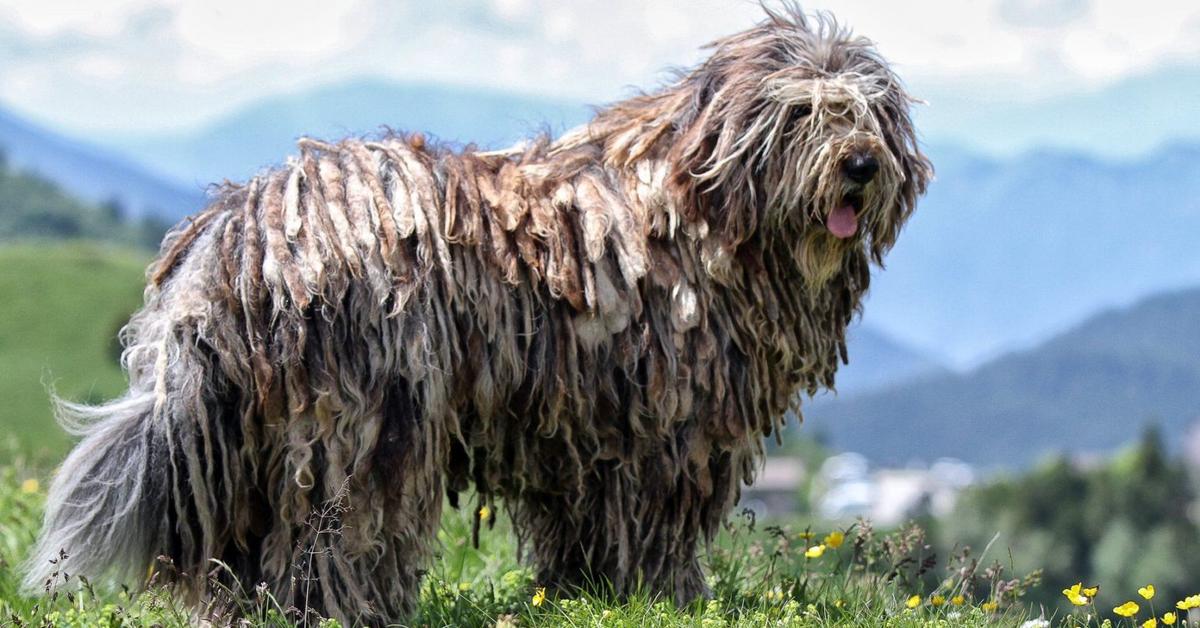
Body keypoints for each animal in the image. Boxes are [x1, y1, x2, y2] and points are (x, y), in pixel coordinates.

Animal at [25, 6, 926, 624]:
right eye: (804, 113)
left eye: (869, 115)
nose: (860, 166)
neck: (690, 214)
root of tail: (245, 230)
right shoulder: (666, 428)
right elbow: (655, 523)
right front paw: (666, 594)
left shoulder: (588, 433)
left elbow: (588, 529)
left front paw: (591, 590)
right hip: (364, 422)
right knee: (336, 534)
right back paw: (348, 608)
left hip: (262, 435)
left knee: (251, 546)